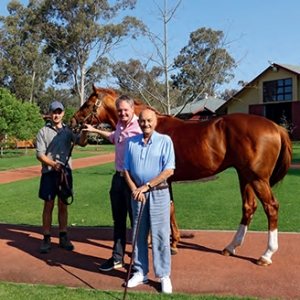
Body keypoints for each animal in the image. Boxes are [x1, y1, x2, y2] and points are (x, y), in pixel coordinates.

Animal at [69, 84, 292, 264]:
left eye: (87, 104)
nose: (73, 122)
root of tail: (275, 127)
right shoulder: (166, 180)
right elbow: (170, 207)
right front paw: (172, 241)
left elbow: (164, 208)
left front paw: (165, 243)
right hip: (244, 175)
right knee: (249, 207)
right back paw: (231, 247)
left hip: (257, 178)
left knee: (271, 207)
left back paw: (266, 255)